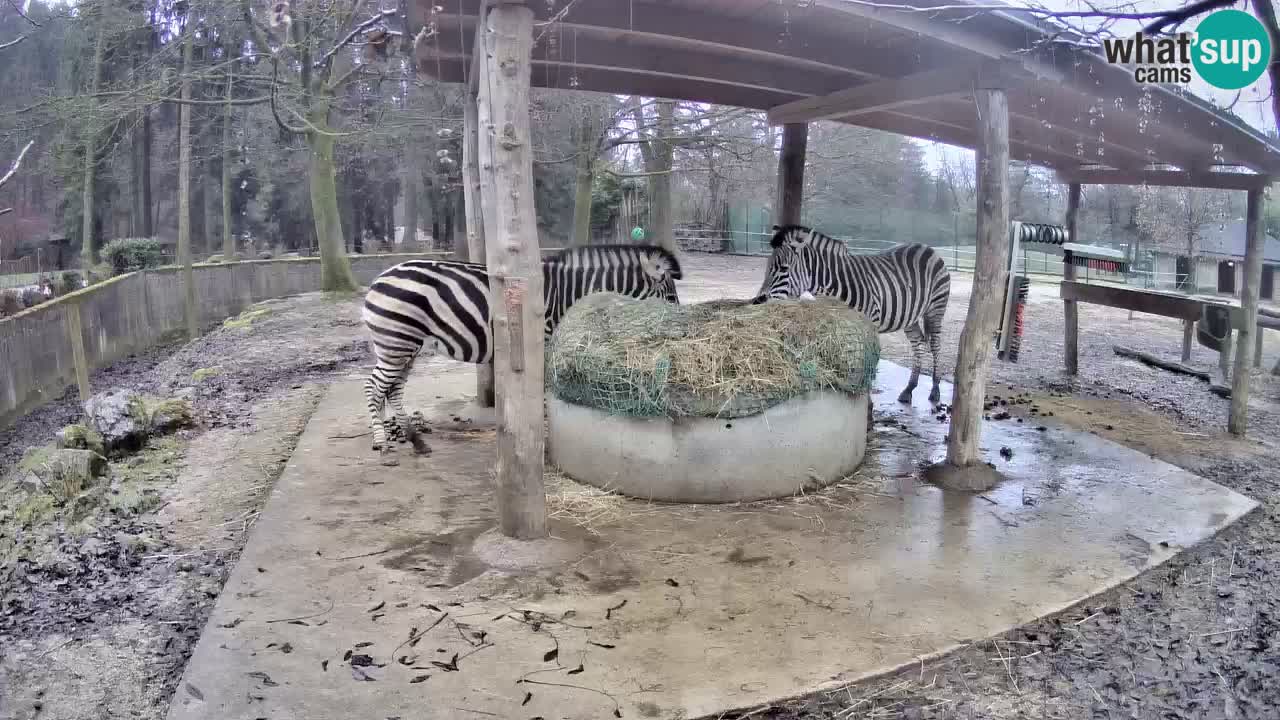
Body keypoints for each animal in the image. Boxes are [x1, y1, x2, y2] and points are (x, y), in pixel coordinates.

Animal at [360, 243, 686, 450]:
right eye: (670, 298)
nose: (680, 327)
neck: (570, 294)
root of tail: (378, 279)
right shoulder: (543, 341)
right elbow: (542, 392)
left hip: (408, 345)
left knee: (393, 388)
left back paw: (415, 441)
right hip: (396, 341)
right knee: (374, 386)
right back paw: (381, 443)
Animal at [747, 222, 952, 404]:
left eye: (783, 268)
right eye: (767, 268)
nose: (758, 301)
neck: (836, 283)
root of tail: (926, 247)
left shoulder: (870, 322)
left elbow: (866, 362)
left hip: (936, 308)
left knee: (935, 345)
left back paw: (935, 390)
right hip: (910, 317)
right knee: (918, 344)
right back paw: (909, 389)